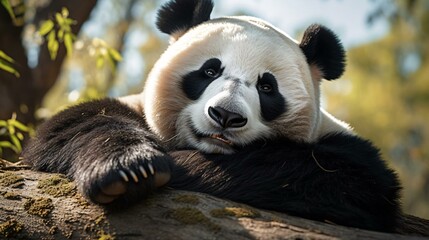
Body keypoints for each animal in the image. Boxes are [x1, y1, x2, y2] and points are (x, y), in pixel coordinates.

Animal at [23, 0, 400, 233]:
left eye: (267, 87)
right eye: (209, 70)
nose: (226, 116)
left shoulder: (346, 152)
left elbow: (344, 177)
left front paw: (180, 166)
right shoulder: (132, 108)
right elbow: (73, 125)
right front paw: (129, 168)